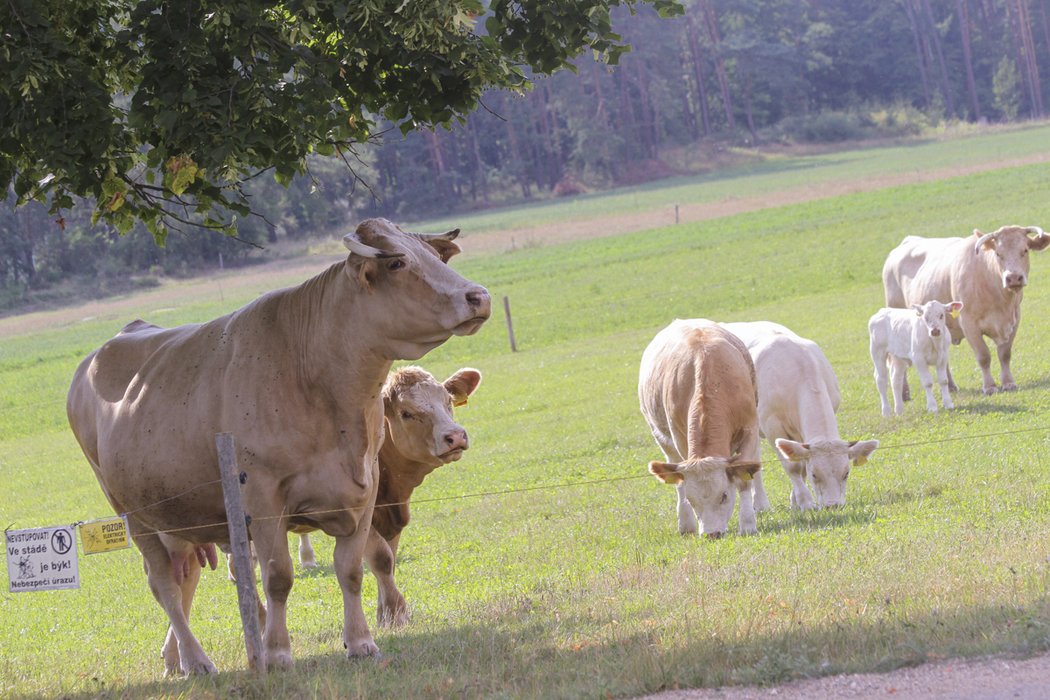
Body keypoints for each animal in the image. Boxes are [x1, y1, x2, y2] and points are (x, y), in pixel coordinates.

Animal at [66, 217, 491, 671]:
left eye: (435, 257)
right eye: (396, 262)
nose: (478, 296)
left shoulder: (364, 490)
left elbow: (353, 569)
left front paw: (360, 641)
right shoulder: (263, 496)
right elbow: (278, 576)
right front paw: (277, 651)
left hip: (179, 515)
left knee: (187, 576)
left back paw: (187, 657)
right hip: (134, 513)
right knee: (164, 584)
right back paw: (197, 661)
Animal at [638, 321, 764, 541]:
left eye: (724, 496)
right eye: (692, 500)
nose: (711, 534)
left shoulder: (750, 429)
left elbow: (744, 479)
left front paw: (748, 524)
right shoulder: (679, 438)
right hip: (662, 438)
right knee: (675, 475)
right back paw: (685, 523)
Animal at [722, 321, 877, 510]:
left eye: (846, 473)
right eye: (815, 474)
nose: (833, 505)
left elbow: (801, 463)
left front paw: (795, 502)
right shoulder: (772, 425)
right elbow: (793, 467)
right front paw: (806, 502)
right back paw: (760, 503)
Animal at [886, 227, 1050, 396]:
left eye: (1025, 250)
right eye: (998, 253)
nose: (1014, 277)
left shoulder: (1014, 320)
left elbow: (1005, 354)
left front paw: (1008, 382)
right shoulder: (968, 323)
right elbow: (983, 356)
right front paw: (989, 386)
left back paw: (950, 386)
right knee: (896, 360)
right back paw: (904, 393)